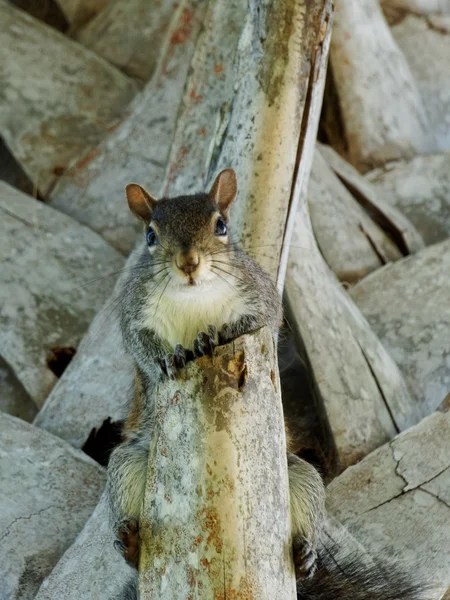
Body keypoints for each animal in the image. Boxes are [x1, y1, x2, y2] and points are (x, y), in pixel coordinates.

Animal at [107, 169, 424, 600]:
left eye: (221, 226)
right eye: (151, 236)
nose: (189, 263)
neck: (193, 298)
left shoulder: (262, 299)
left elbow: (263, 323)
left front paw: (216, 334)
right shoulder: (134, 313)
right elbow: (140, 346)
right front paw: (167, 357)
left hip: (299, 477)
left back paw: (304, 557)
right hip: (129, 465)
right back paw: (130, 542)